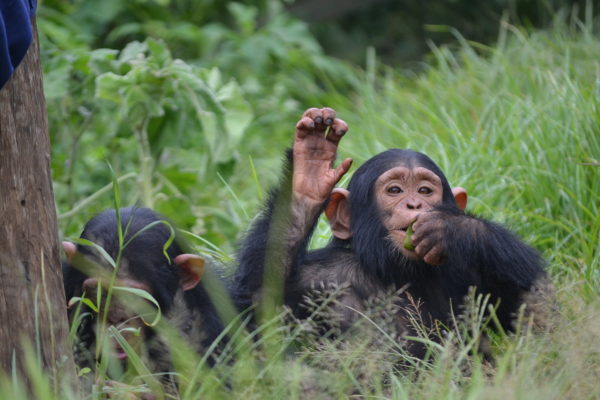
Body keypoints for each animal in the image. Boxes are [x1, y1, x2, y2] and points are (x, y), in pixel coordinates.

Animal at [232, 107, 552, 360]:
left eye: (425, 190)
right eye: (395, 190)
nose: (414, 204)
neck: (399, 273)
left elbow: (538, 313)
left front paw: (454, 230)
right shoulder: (316, 279)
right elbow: (259, 309)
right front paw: (308, 170)